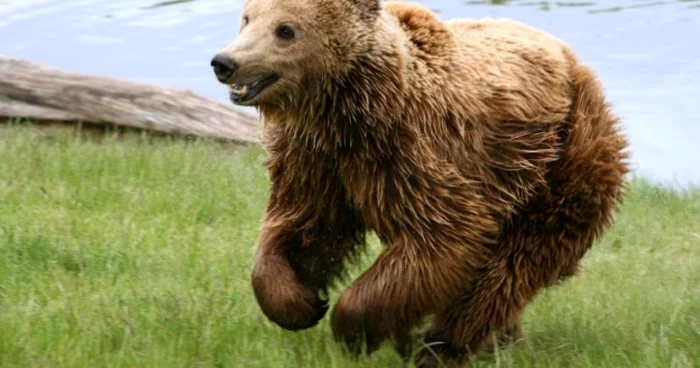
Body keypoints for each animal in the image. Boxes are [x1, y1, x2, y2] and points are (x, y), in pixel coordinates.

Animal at [211, 0, 632, 366]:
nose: (225, 62)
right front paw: (301, 303)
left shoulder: (414, 152)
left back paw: (441, 345)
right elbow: (305, 228)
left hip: (560, 158)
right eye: (247, 19)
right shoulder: (315, 162)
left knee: (514, 263)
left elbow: (442, 237)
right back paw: (498, 340)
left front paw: (352, 328)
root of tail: (574, 60)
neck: (345, 112)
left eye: (286, 29)